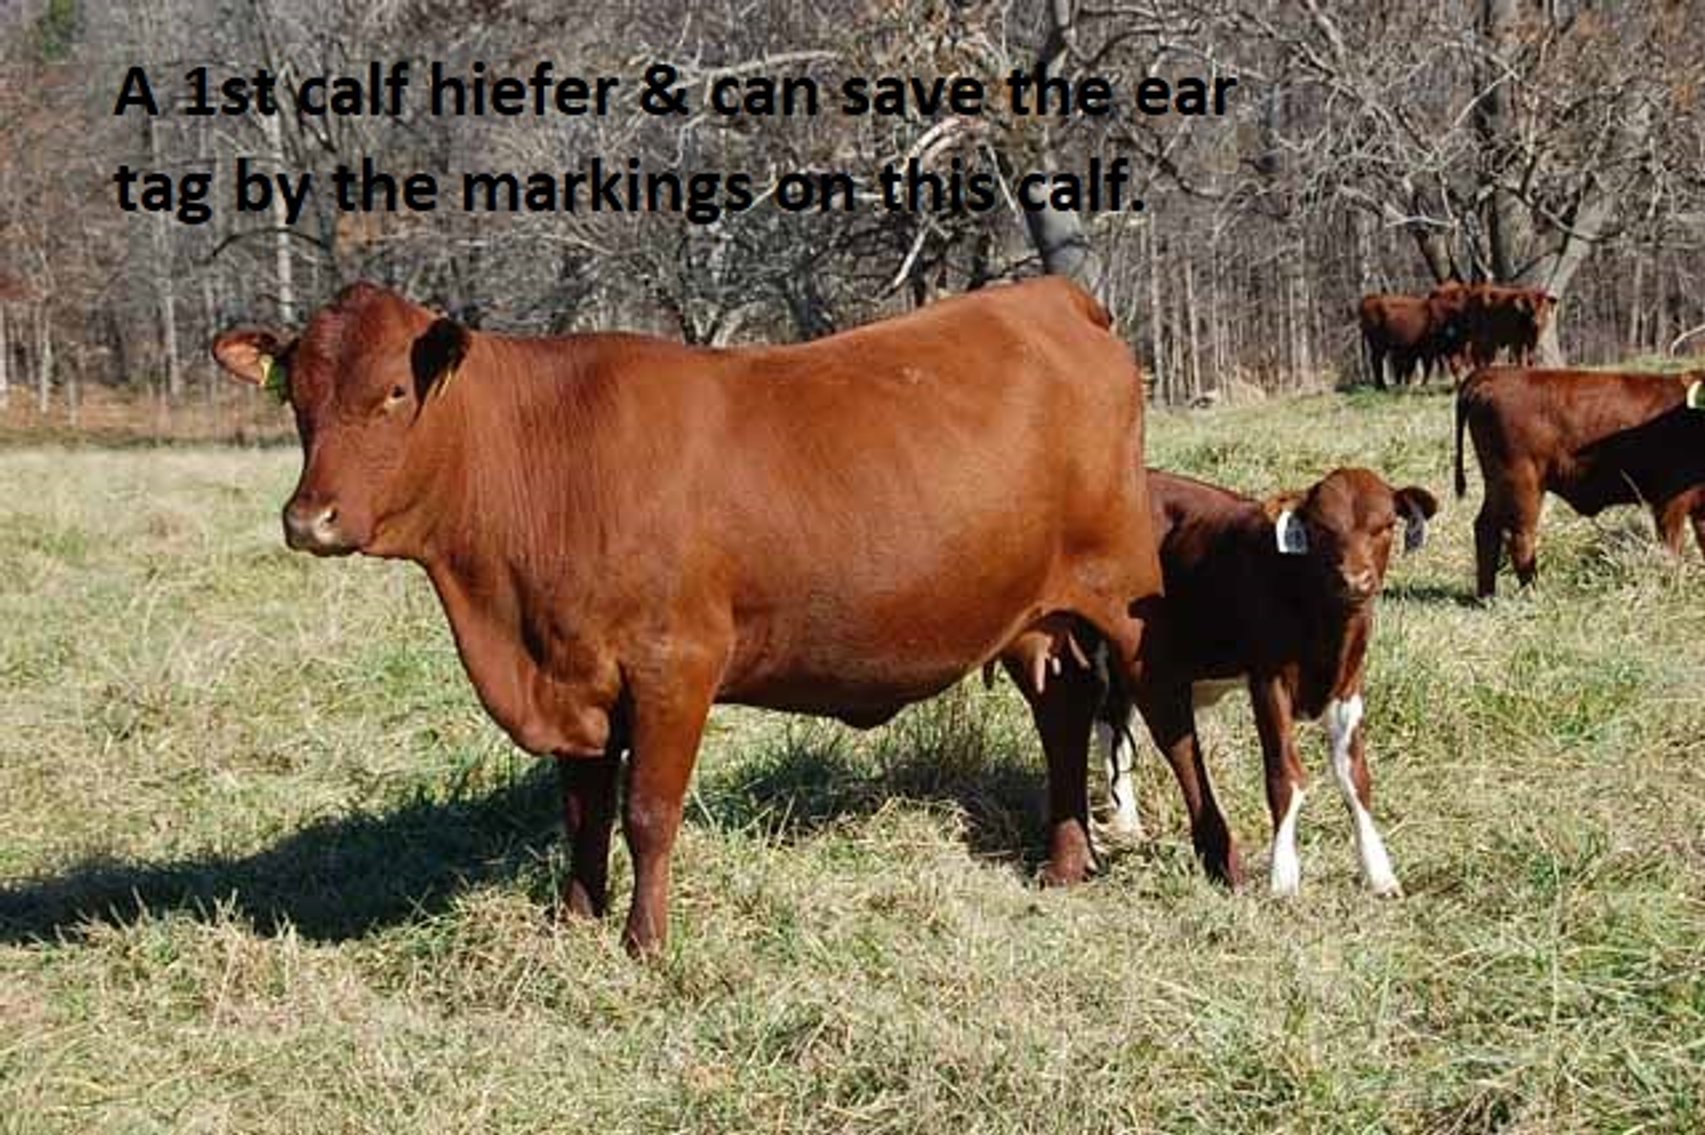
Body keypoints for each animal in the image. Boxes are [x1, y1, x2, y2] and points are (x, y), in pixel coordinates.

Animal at [212, 279, 1163, 955]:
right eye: (296, 397)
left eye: (393, 394)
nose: (309, 519)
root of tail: (1053, 296)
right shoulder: (577, 680)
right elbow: (583, 811)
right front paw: (574, 921)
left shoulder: (675, 666)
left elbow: (646, 812)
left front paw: (645, 944)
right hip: (1035, 618)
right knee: (1062, 718)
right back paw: (1064, 865)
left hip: (1122, 596)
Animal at [1094, 467, 1438, 896]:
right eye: (1321, 528)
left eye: (1386, 526)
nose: (1354, 580)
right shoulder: (1269, 683)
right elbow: (1285, 775)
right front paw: (1283, 876)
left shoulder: (1348, 686)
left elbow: (1355, 778)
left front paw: (1379, 872)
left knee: (1115, 725)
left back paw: (1125, 823)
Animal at [1454, 366, 1705, 598]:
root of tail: (1498, 372)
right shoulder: (1669, 504)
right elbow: (1671, 551)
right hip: (1521, 483)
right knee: (1520, 537)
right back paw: (1534, 594)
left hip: (1498, 485)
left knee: (1486, 528)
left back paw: (1486, 596)